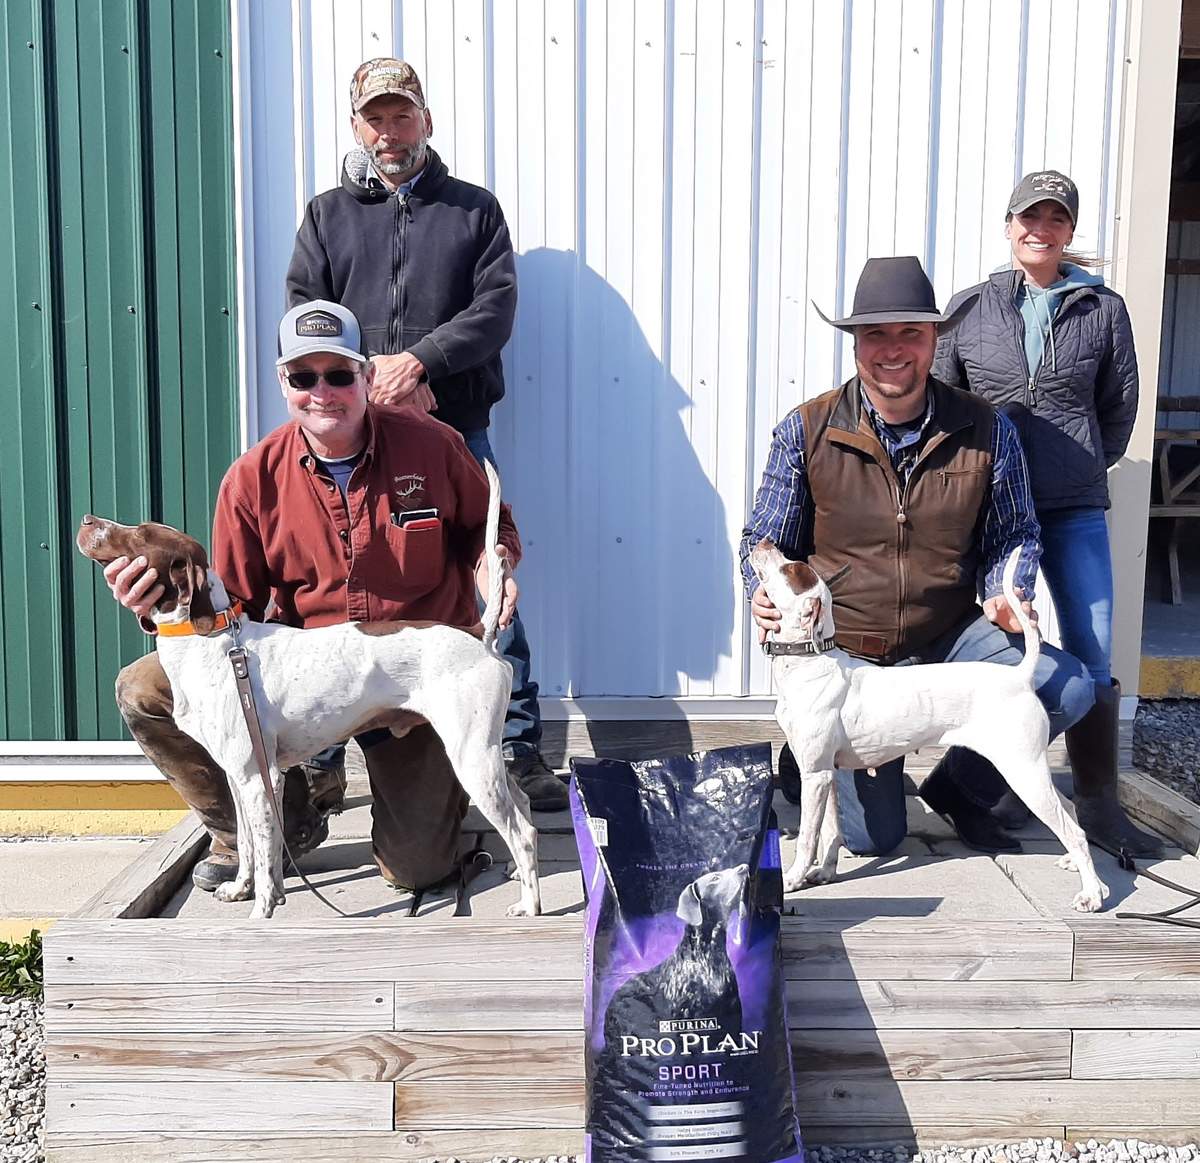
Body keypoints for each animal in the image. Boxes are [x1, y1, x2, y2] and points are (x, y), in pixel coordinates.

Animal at [76, 458, 540, 921]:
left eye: (139, 534)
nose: (86, 519)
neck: (211, 644)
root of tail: (478, 634)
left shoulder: (256, 777)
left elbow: (265, 858)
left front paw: (261, 912)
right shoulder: (240, 776)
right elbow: (249, 845)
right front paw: (241, 889)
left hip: (471, 757)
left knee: (520, 831)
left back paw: (530, 906)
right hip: (484, 755)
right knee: (526, 812)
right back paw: (518, 875)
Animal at [748, 540, 1104, 912]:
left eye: (792, 569)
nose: (765, 542)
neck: (810, 663)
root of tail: (1020, 676)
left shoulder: (814, 775)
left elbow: (807, 837)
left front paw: (792, 880)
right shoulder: (826, 774)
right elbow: (830, 833)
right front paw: (824, 873)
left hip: (1023, 771)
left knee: (1073, 831)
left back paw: (1092, 894)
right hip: (1031, 772)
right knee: (1069, 811)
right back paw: (1076, 867)